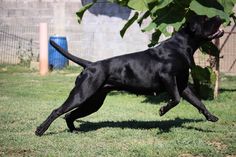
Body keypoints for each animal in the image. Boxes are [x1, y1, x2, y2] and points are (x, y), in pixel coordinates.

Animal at [35, 15, 225, 136]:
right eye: (205, 19)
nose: (218, 16)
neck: (182, 46)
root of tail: (91, 65)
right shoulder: (168, 78)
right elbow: (176, 99)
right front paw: (162, 110)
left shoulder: (183, 85)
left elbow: (198, 102)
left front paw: (211, 117)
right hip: (81, 95)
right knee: (57, 111)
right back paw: (40, 130)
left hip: (93, 102)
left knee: (69, 115)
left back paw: (74, 131)